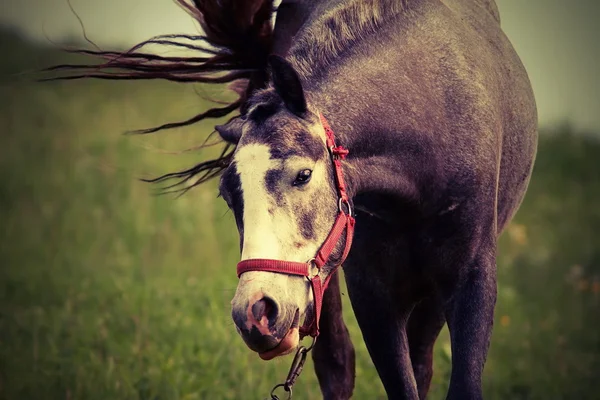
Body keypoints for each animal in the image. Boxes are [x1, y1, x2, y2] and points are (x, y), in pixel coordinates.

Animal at [45, 0, 536, 398]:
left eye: (303, 175)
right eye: (229, 196)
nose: (255, 313)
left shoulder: (470, 281)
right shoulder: (373, 294)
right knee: (337, 362)